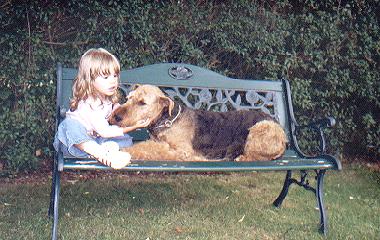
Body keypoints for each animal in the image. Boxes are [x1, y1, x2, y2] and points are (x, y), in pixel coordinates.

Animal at [108, 84, 286, 161]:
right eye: (129, 98)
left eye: (142, 103)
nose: (114, 117)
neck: (167, 120)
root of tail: (284, 138)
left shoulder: (183, 150)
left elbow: (154, 150)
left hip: (260, 128)